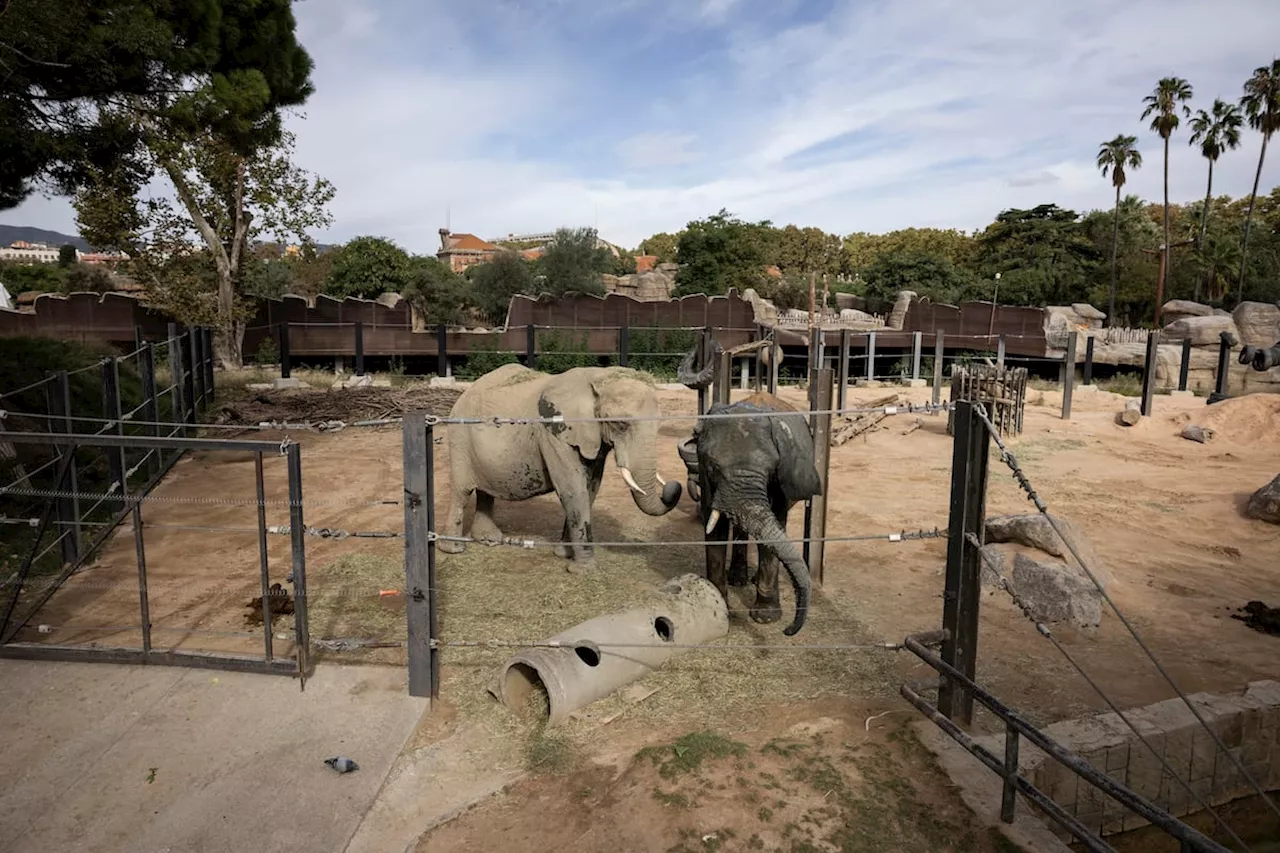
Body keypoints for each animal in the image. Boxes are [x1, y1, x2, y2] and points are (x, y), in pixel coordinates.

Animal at [437, 361, 680, 568]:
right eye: (620, 424)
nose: (674, 487)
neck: (597, 377)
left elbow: (590, 488)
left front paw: (564, 555)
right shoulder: (553, 432)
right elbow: (572, 489)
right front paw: (583, 569)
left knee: (485, 490)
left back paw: (489, 540)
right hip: (459, 436)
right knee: (462, 491)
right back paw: (453, 549)